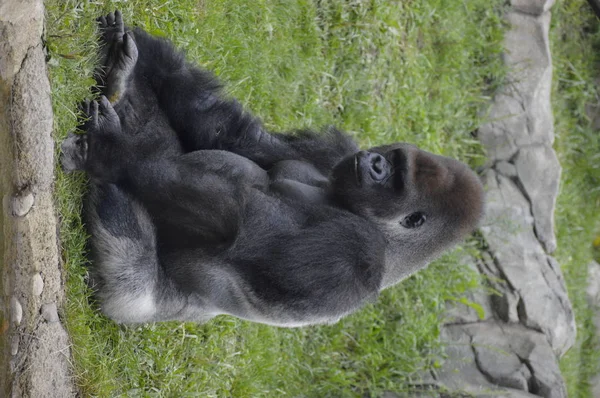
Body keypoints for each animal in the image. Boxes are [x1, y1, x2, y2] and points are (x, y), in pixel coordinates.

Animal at [61, 10, 486, 324]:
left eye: (396, 179)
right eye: (393, 160)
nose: (374, 162)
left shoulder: (356, 251)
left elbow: (237, 229)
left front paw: (113, 150)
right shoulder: (333, 154)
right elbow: (234, 137)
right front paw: (141, 56)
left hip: (134, 294)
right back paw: (123, 78)